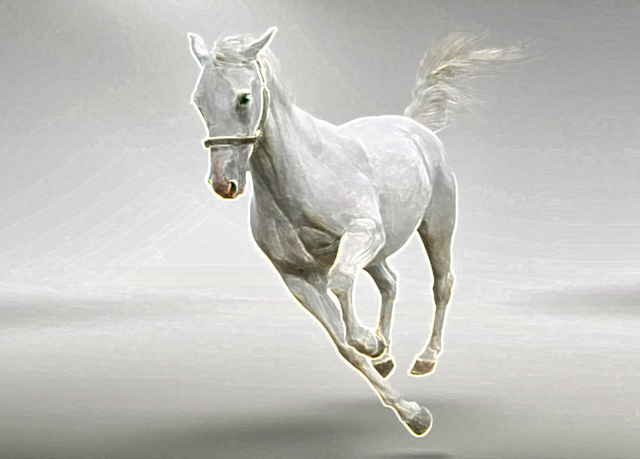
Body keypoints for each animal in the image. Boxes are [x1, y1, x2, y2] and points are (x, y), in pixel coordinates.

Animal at [187, 27, 524, 436]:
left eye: (243, 98)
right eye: (198, 102)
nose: (224, 183)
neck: (301, 176)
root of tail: (415, 126)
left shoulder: (362, 235)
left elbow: (342, 283)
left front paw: (371, 344)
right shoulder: (297, 277)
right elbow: (345, 347)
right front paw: (411, 410)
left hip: (436, 226)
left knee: (442, 283)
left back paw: (425, 358)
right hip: (381, 251)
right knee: (390, 282)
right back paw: (386, 354)